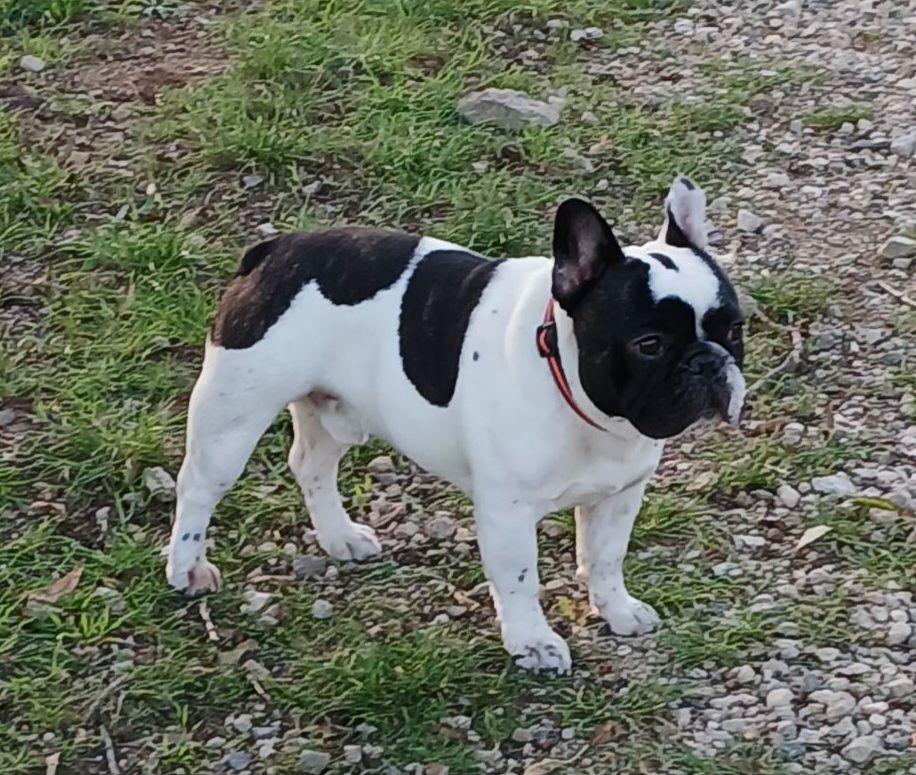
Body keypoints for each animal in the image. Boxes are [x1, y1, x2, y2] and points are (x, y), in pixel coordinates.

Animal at [166, 176, 745, 673]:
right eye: (649, 344)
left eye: (735, 329)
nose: (708, 362)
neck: (587, 407)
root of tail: (274, 250)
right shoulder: (507, 512)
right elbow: (520, 579)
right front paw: (533, 642)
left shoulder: (620, 495)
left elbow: (605, 557)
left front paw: (618, 610)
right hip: (233, 416)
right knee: (198, 487)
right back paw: (187, 568)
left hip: (335, 413)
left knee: (310, 464)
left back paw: (340, 537)